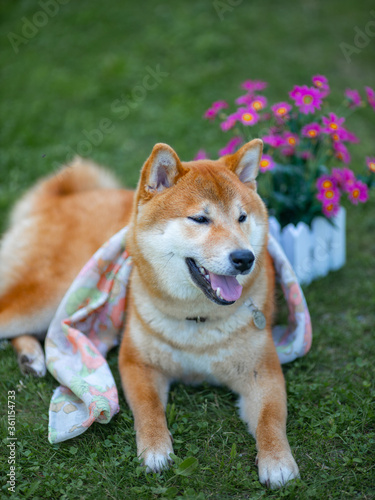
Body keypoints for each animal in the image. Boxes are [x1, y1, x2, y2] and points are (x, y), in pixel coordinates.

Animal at [0, 140, 300, 488]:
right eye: (200, 219)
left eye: (242, 217)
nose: (244, 258)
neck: (197, 321)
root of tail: (61, 197)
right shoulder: (137, 363)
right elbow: (149, 408)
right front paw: (156, 449)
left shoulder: (262, 371)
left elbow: (271, 418)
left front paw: (277, 460)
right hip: (48, 296)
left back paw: (31, 357)